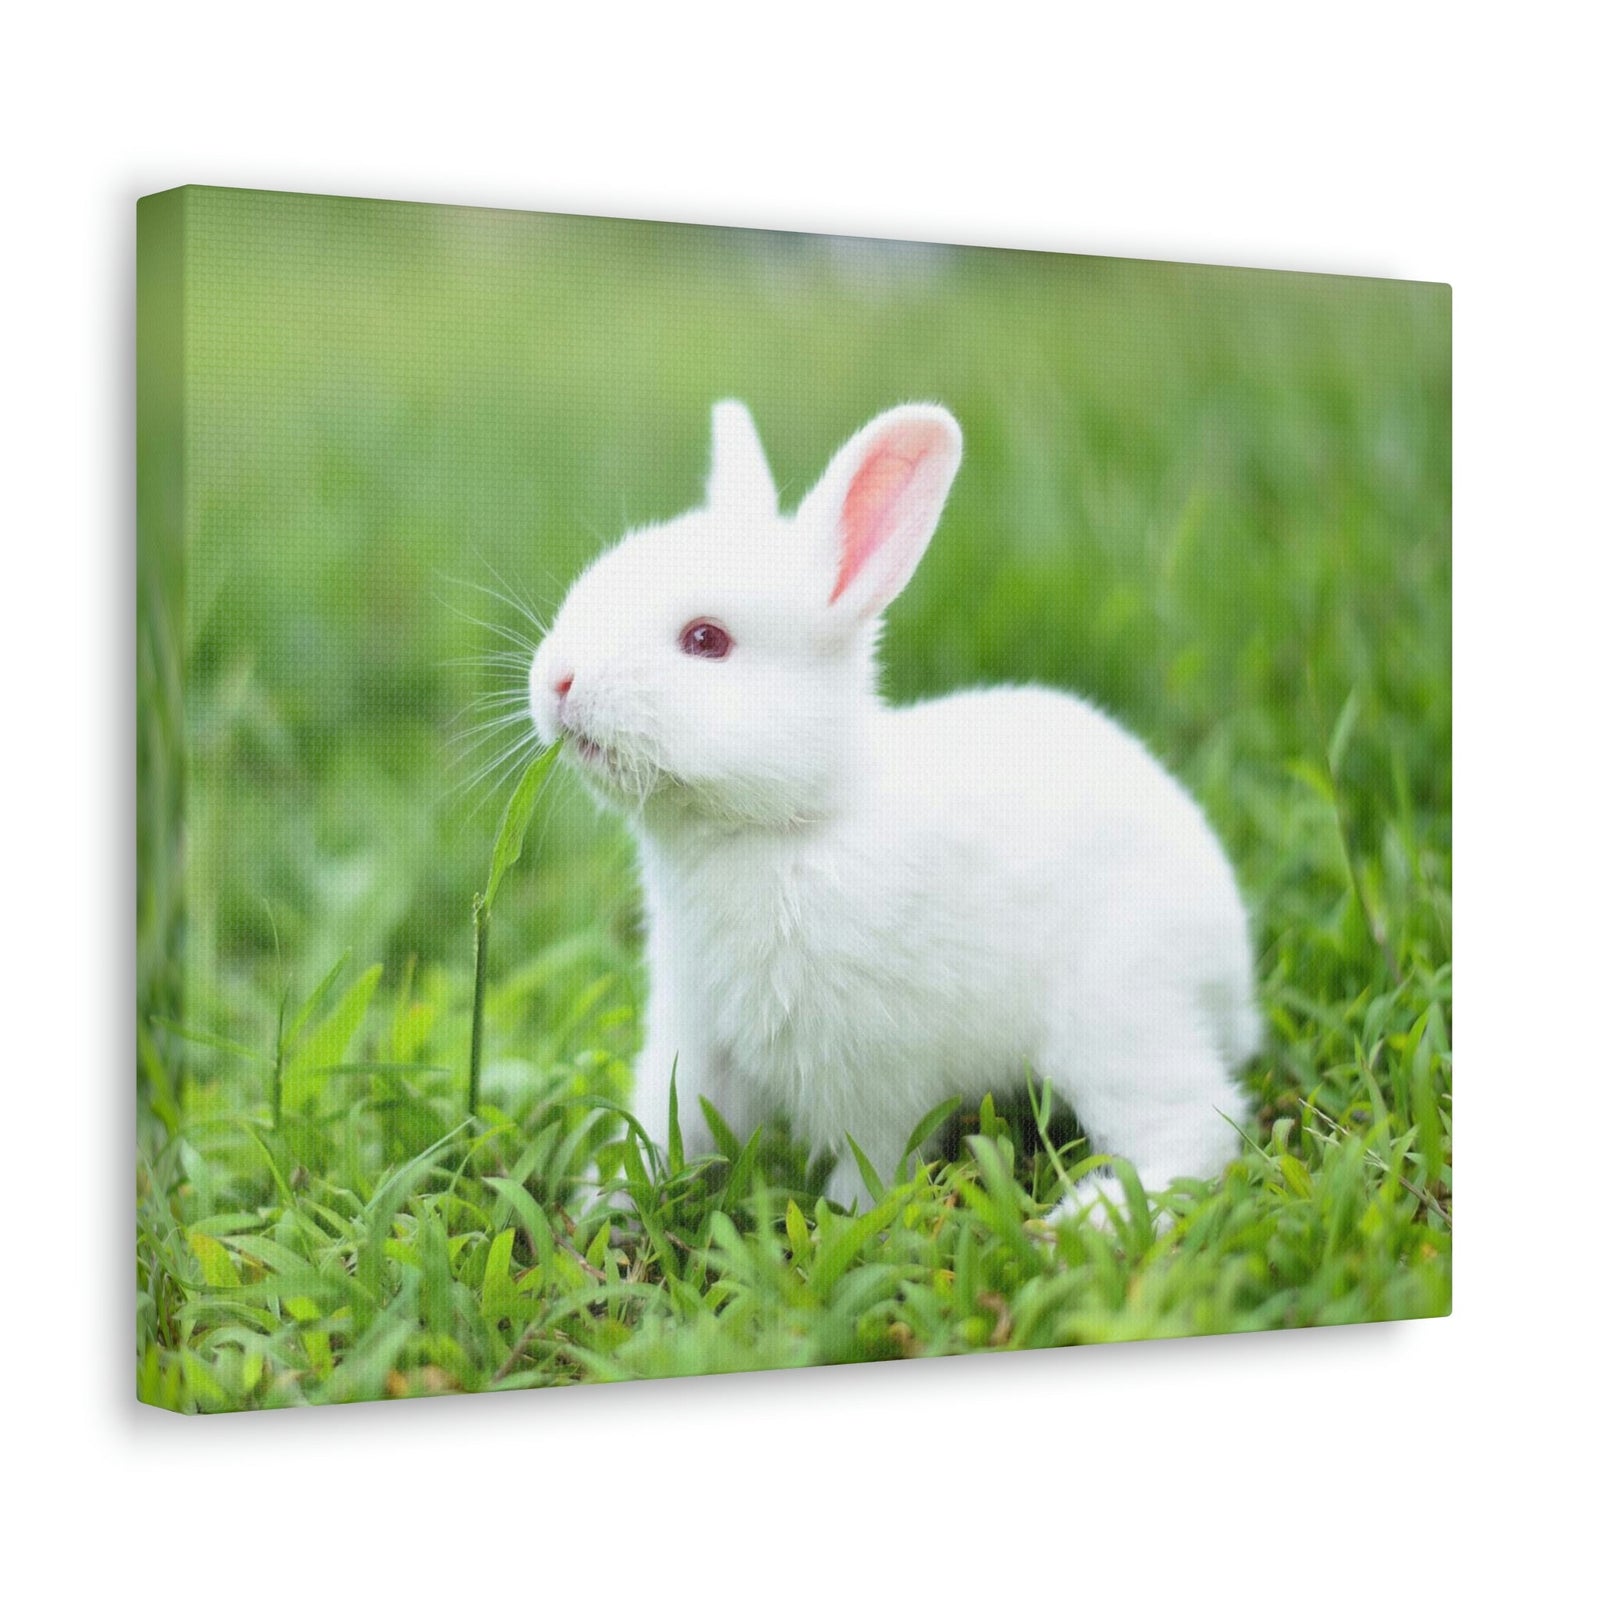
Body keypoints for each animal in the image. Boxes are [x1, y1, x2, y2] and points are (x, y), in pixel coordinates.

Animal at [529, 399, 1259, 1226]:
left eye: (705, 640)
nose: (558, 681)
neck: (786, 825)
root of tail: (1232, 967)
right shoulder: (697, 1040)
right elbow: (663, 1127)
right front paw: (600, 1206)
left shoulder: (873, 1076)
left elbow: (873, 1163)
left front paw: (845, 1222)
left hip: (1118, 1016)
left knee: (1196, 1130)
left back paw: (1078, 1224)